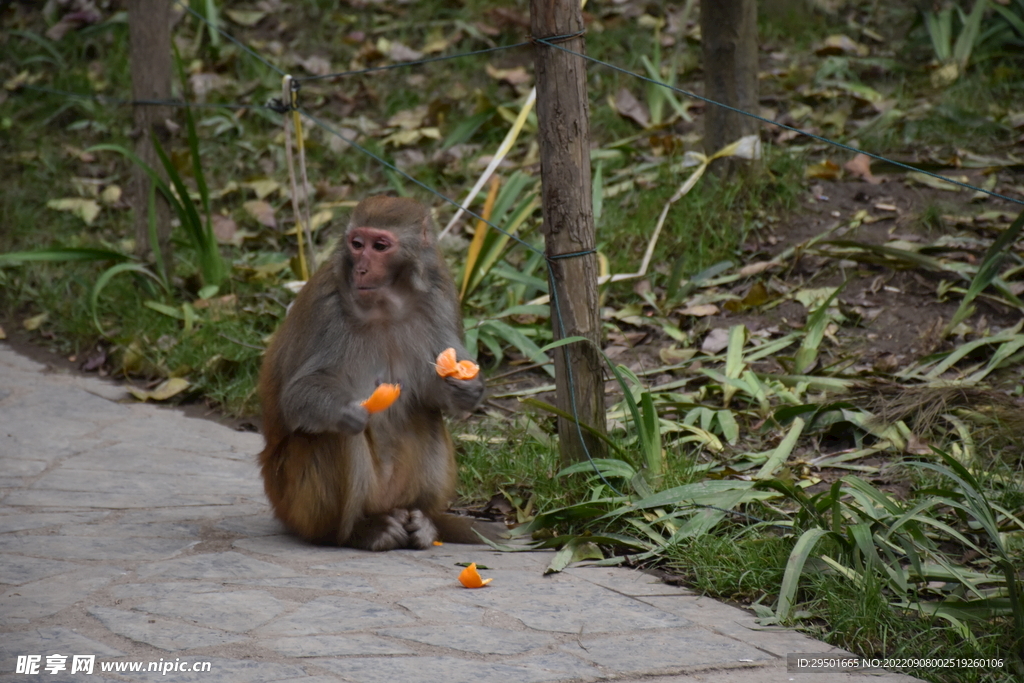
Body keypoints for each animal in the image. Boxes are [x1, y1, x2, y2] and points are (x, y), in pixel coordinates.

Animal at [260, 196, 491, 548]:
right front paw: (343, 410)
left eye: (380, 246)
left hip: (395, 494)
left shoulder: (441, 292)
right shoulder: (326, 303)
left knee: (428, 416)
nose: (361, 268)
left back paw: (423, 521)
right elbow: (298, 396)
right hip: (294, 500)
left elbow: (430, 391)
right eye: (357, 245)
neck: (387, 302)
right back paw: (354, 532)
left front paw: (466, 390)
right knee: (335, 436)